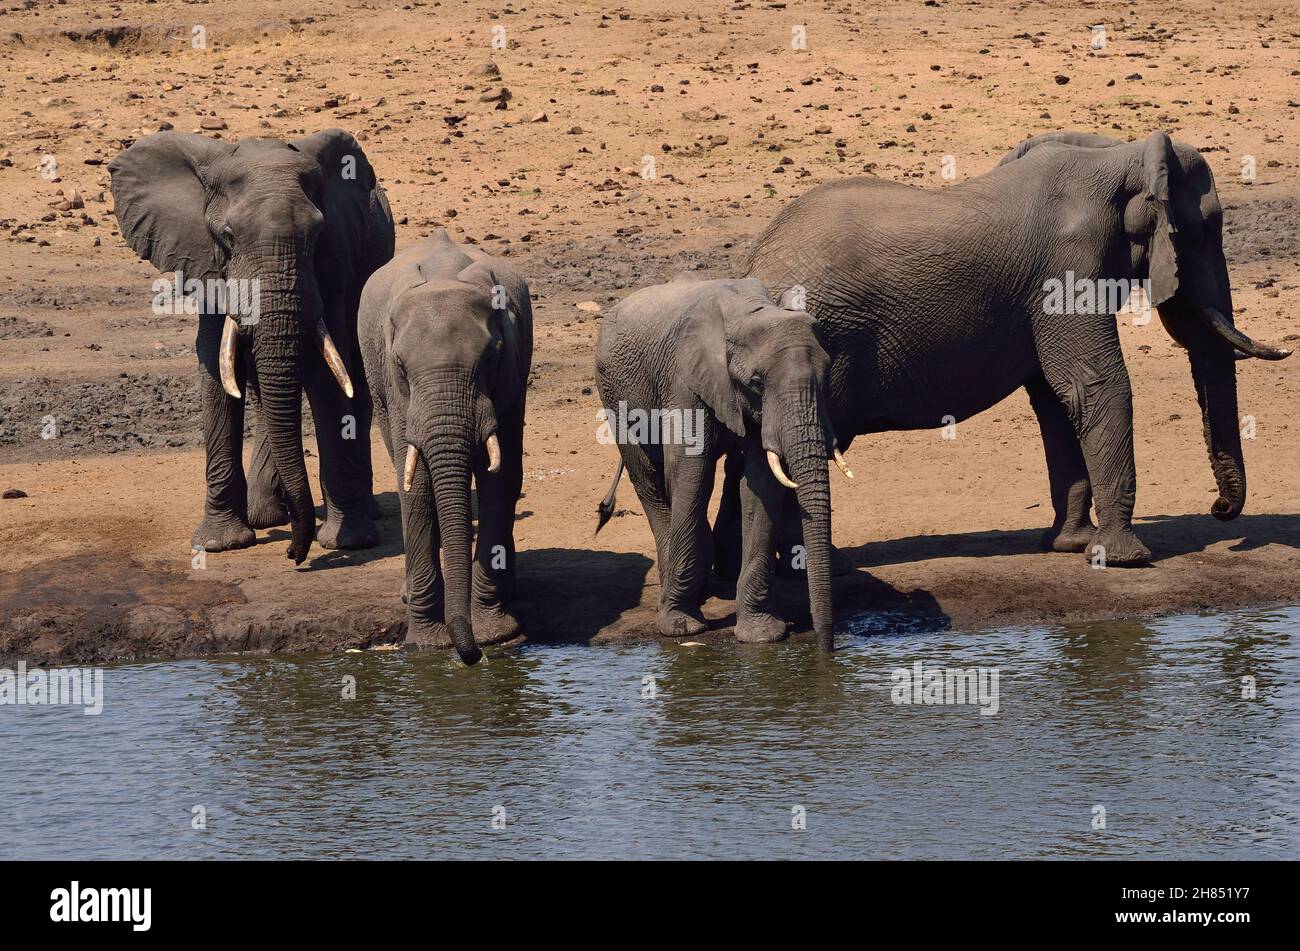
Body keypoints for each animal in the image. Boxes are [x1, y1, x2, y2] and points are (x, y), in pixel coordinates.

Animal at [110, 127, 395, 561]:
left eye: (317, 235)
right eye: (227, 237)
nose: (294, 553)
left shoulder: (333, 264)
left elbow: (328, 375)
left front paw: (349, 541)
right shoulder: (208, 264)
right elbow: (216, 372)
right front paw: (219, 544)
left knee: (354, 379)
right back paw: (267, 516)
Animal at [358, 231, 530, 665]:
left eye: (491, 357)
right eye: (401, 365)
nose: (471, 657)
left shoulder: (512, 371)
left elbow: (500, 477)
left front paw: (495, 636)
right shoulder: (397, 391)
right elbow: (415, 482)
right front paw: (427, 644)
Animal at [595, 275, 842, 646]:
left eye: (826, 375)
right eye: (756, 382)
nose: (825, 647)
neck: (748, 312)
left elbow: (761, 485)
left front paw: (762, 635)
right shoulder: (685, 381)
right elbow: (692, 475)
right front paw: (681, 627)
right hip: (613, 392)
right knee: (648, 479)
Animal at [743, 129, 1289, 569]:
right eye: (1206, 230)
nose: (1219, 510)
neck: (1120, 155)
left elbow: (1057, 400)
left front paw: (1072, 545)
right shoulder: (1067, 270)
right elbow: (1095, 385)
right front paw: (1123, 559)